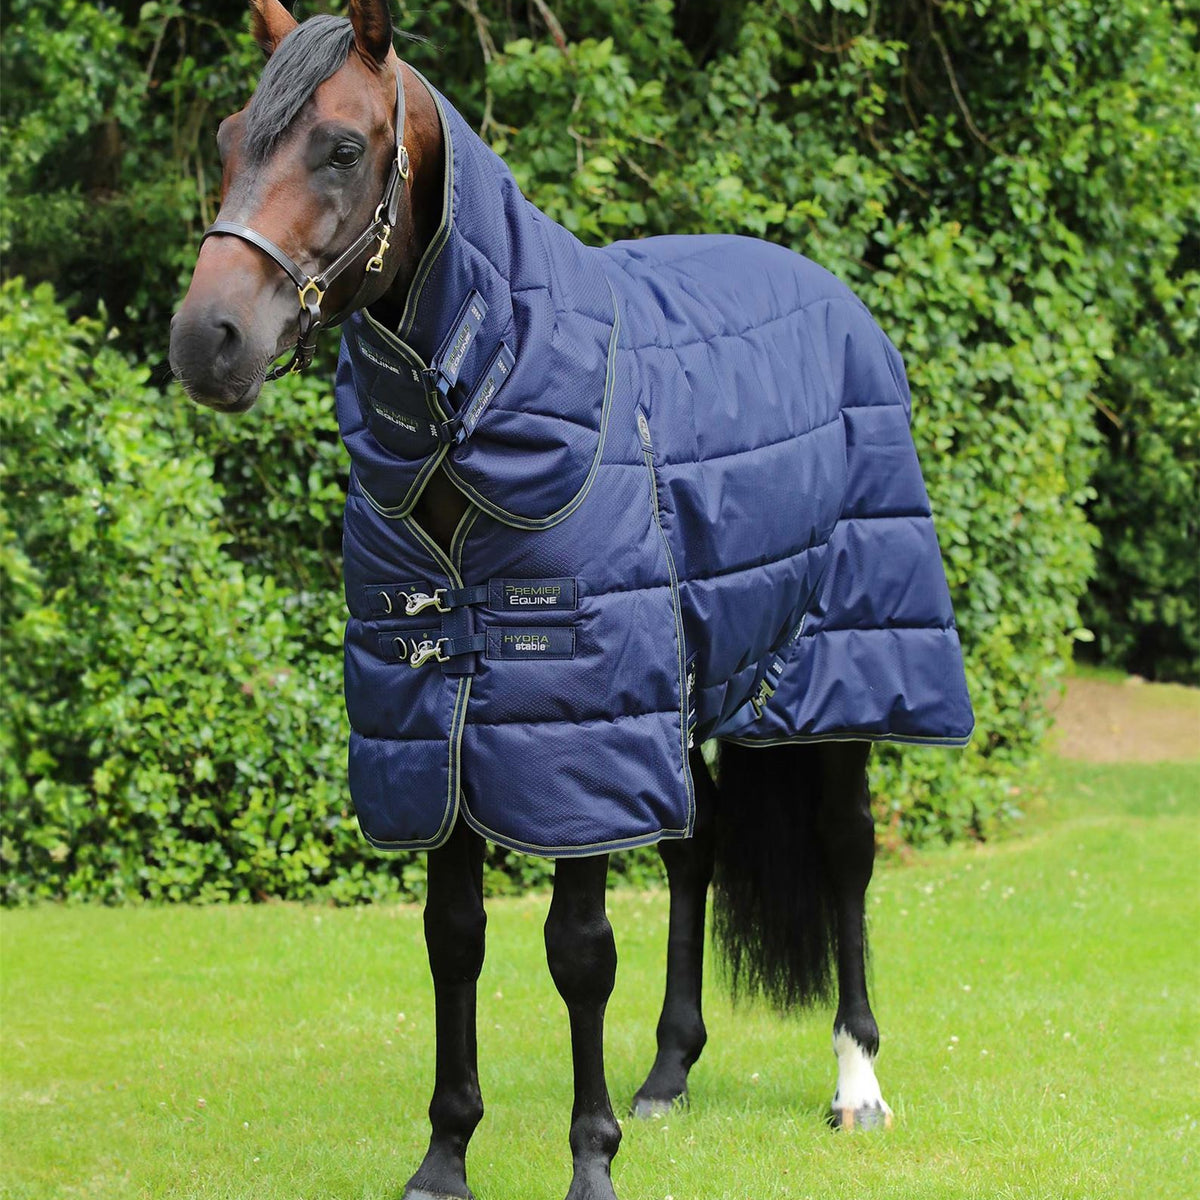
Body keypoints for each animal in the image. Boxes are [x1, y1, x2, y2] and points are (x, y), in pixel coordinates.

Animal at [169, 4, 973, 1198]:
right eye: (230, 139)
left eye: (343, 148)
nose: (206, 340)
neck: (491, 395)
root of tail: (837, 303)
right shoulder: (445, 720)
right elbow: (453, 935)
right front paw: (445, 1155)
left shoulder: (571, 721)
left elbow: (578, 951)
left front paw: (590, 1160)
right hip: (685, 685)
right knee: (698, 843)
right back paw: (669, 1073)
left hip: (842, 669)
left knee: (845, 852)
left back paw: (856, 1084)